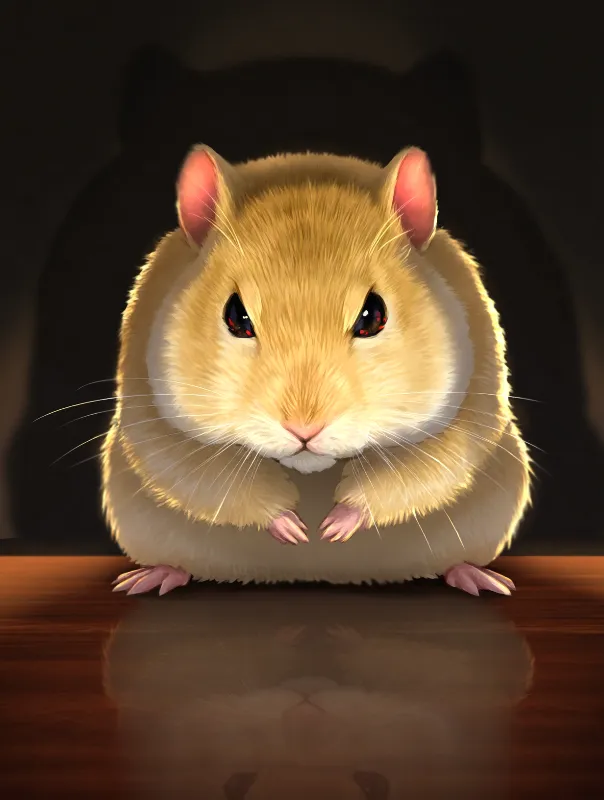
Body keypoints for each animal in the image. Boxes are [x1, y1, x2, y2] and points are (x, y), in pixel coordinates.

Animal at [102, 144, 532, 595]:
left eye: (373, 315)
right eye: (236, 315)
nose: (304, 430)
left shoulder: (466, 418)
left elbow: (412, 473)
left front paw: (331, 527)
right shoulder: (156, 426)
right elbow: (215, 479)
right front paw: (295, 529)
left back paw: (479, 577)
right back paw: (150, 577)